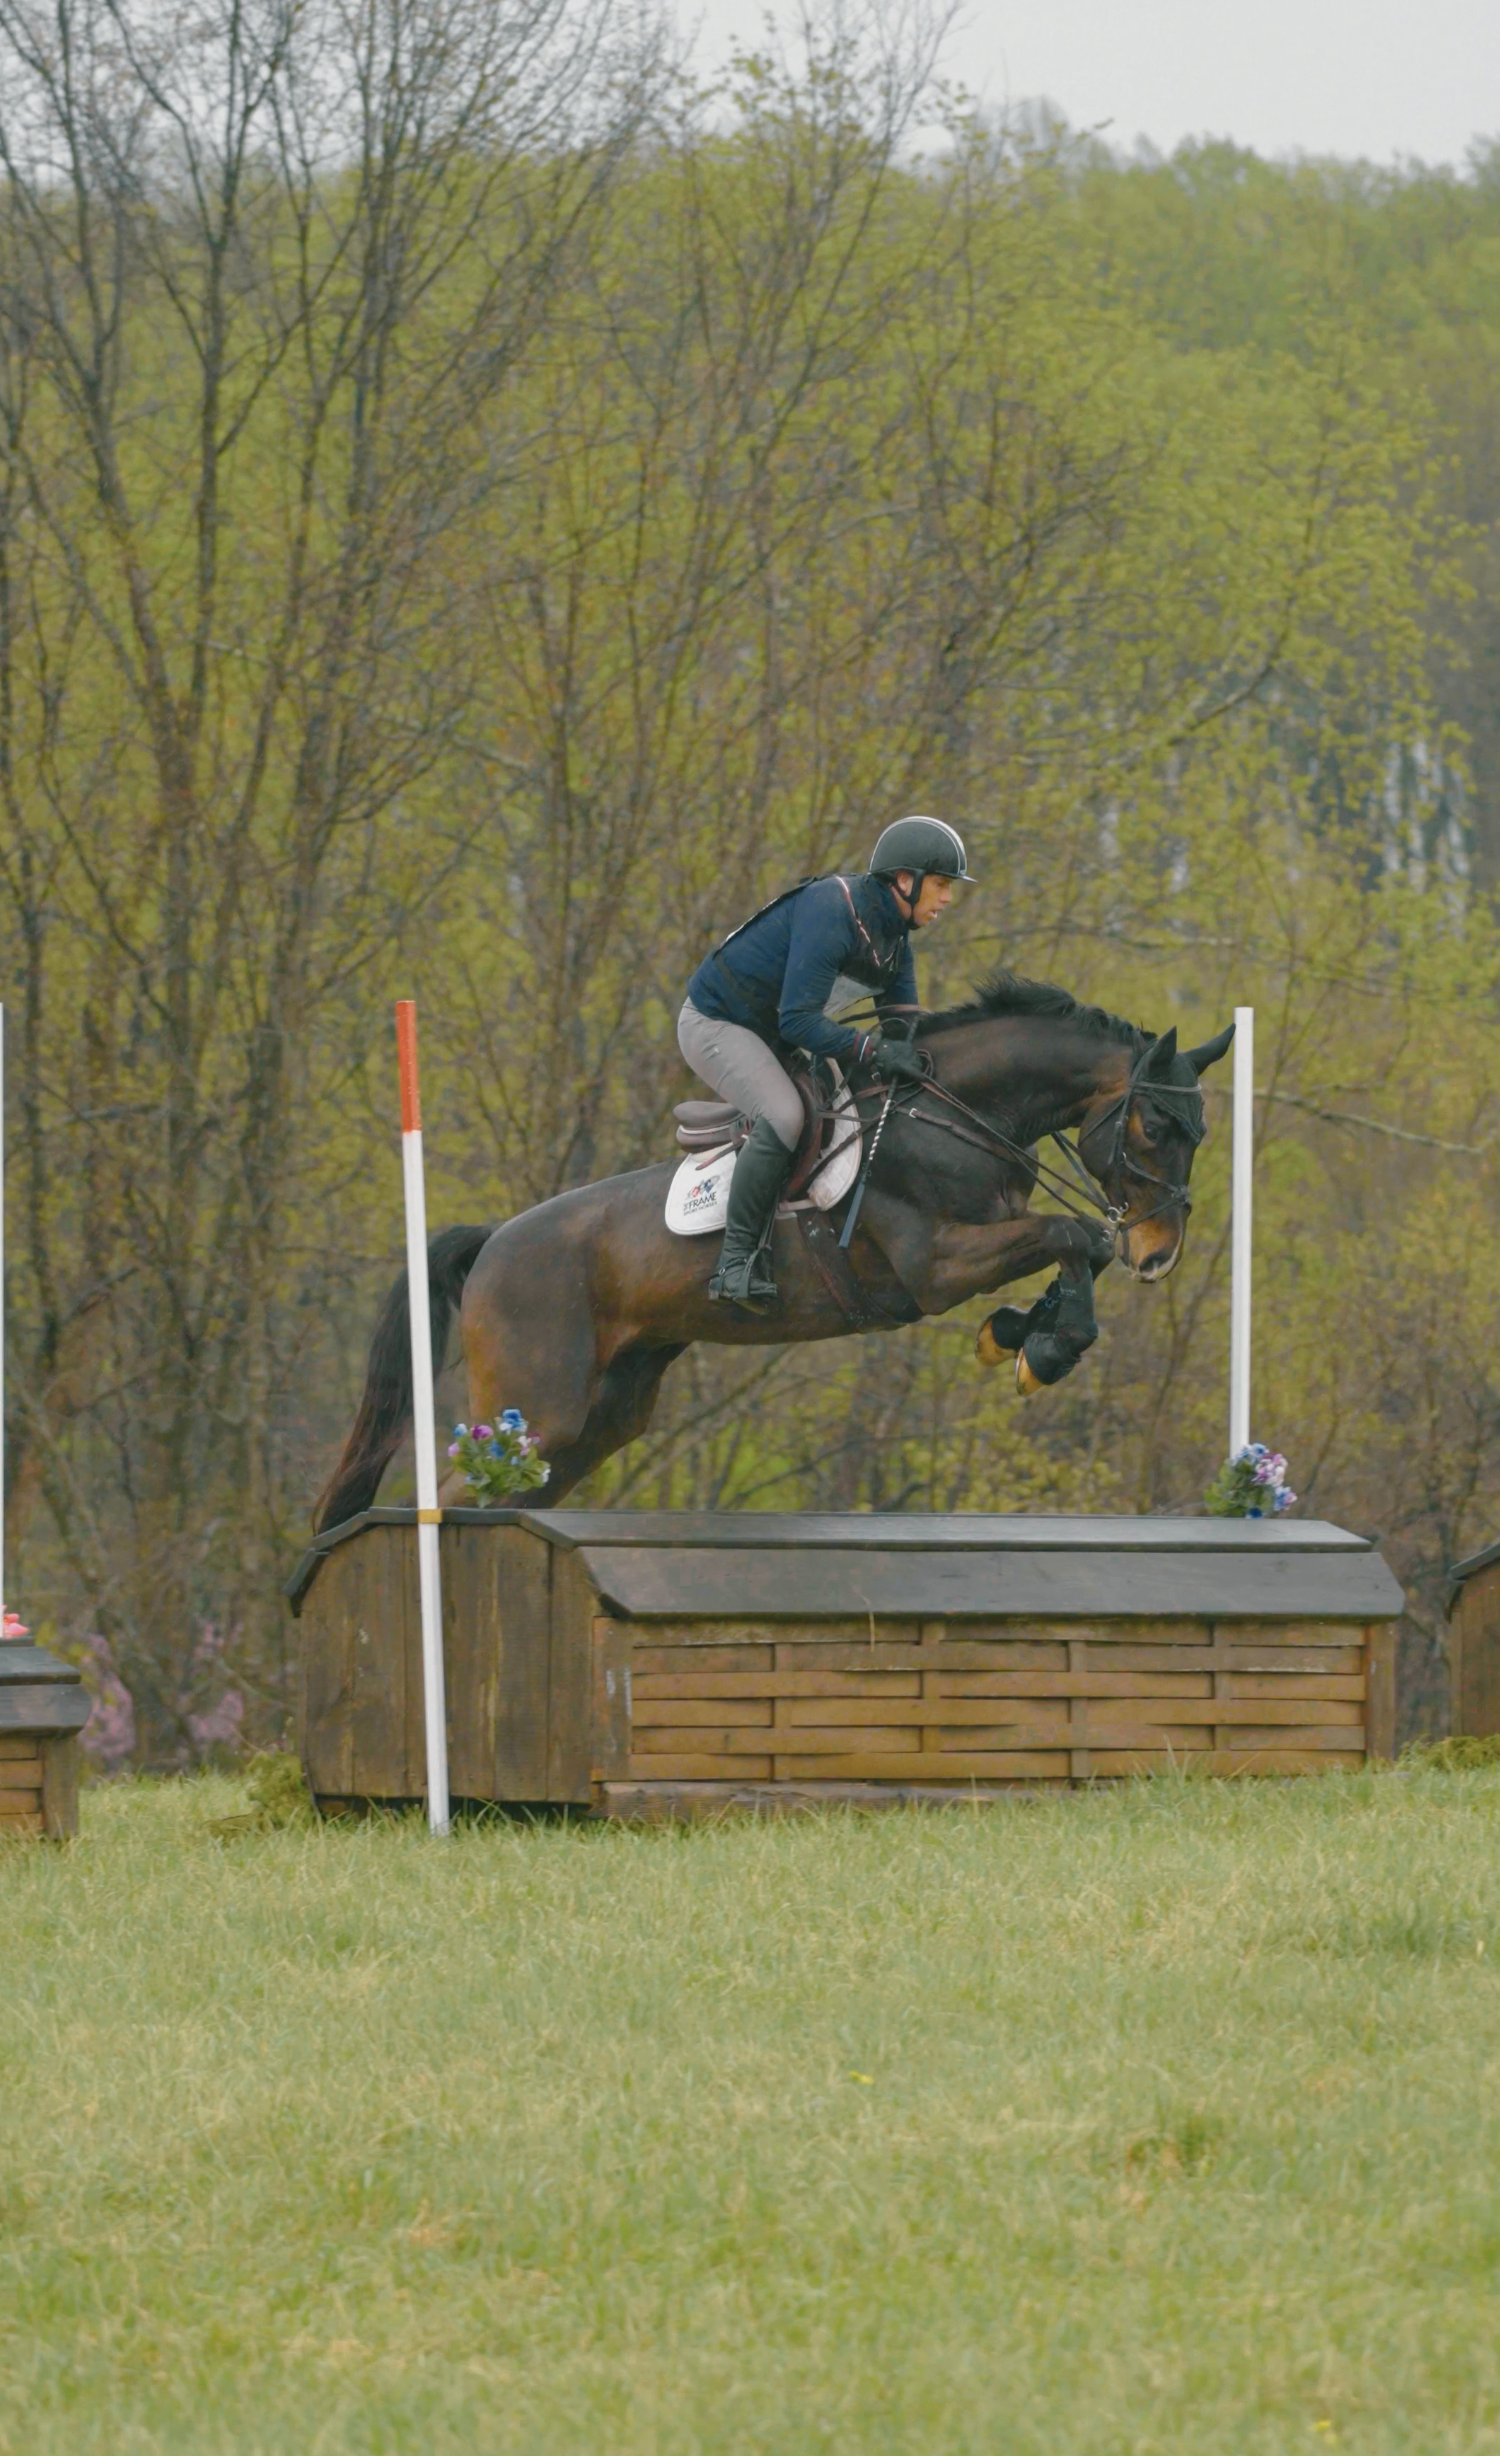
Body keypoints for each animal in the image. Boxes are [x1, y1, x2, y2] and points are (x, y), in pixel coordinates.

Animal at [316, 974, 1235, 1523]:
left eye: (1199, 1132)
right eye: (1156, 1126)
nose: (1161, 1253)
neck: (951, 1114)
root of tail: (495, 1241)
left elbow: (1080, 1246)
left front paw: (1021, 1334)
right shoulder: (934, 1267)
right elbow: (1073, 1232)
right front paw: (1040, 1349)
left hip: (598, 1418)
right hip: (536, 1410)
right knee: (456, 1493)